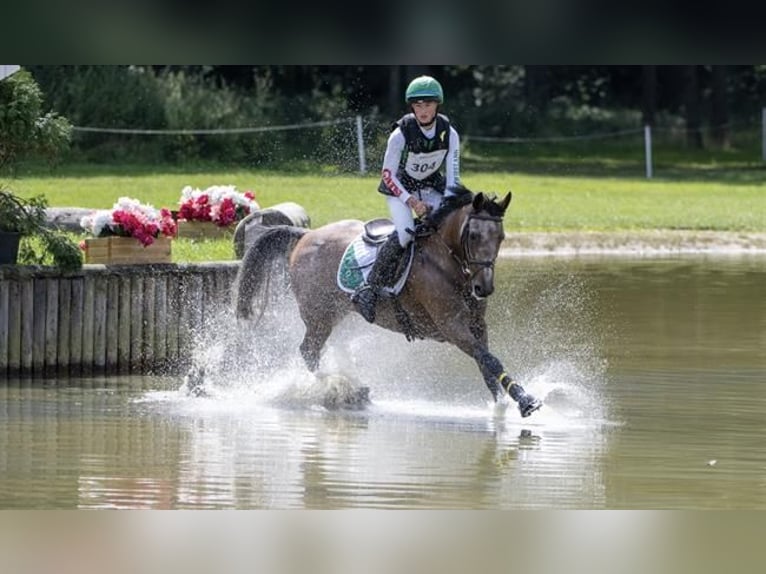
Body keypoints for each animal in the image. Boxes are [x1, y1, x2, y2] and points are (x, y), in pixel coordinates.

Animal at [234, 189, 544, 418]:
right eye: (474, 235)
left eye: (501, 237)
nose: (484, 288)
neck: (448, 262)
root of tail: (305, 236)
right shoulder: (452, 326)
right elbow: (489, 359)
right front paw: (524, 400)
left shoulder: (477, 325)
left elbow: (486, 362)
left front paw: (501, 405)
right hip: (319, 316)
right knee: (308, 351)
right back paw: (340, 389)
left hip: (337, 313)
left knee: (319, 350)